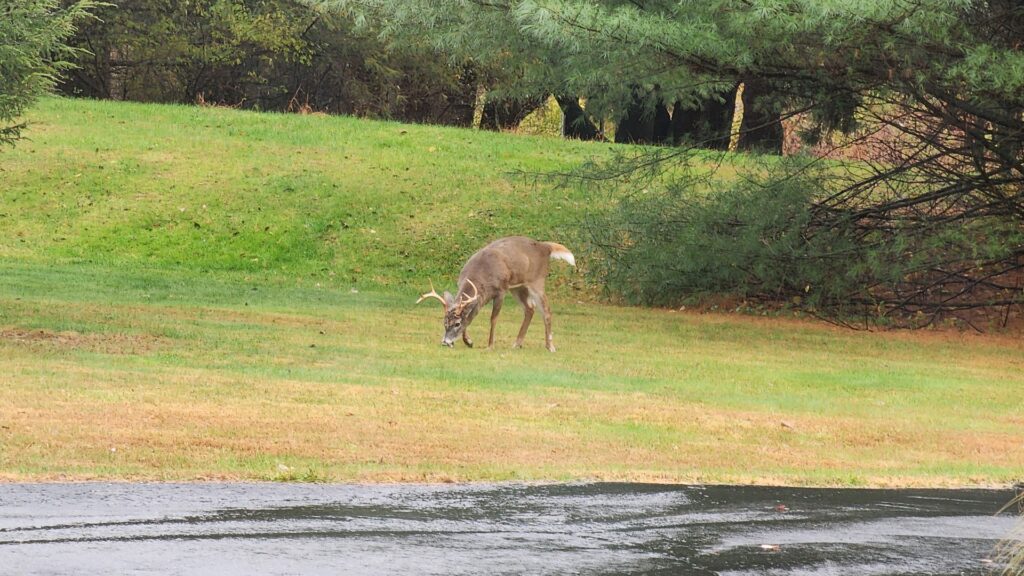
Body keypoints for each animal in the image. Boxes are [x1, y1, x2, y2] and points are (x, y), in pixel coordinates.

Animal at [417, 236, 576, 352]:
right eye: (444, 322)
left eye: (457, 323)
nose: (445, 342)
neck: (479, 276)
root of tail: (546, 247)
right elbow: (471, 315)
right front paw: (469, 342)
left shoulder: (501, 290)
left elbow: (493, 318)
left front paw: (490, 345)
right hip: (517, 287)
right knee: (529, 308)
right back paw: (517, 344)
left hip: (536, 281)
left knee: (546, 311)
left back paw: (550, 347)